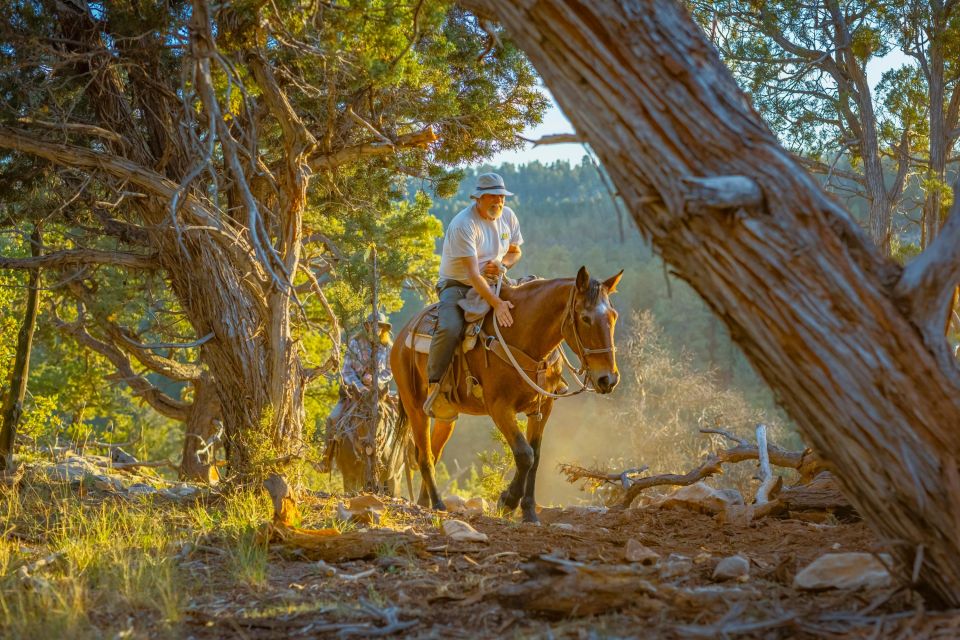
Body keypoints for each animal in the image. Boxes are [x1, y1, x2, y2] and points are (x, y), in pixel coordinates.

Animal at [390, 268, 624, 524]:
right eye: (585, 318)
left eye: (613, 316)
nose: (608, 379)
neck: (524, 335)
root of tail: (401, 337)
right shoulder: (500, 408)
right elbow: (524, 455)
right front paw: (507, 501)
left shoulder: (542, 408)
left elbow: (536, 457)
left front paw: (529, 512)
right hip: (415, 408)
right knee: (424, 456)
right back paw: (438, 503)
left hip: (446, 415)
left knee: (433, 452)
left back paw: (425, 502)